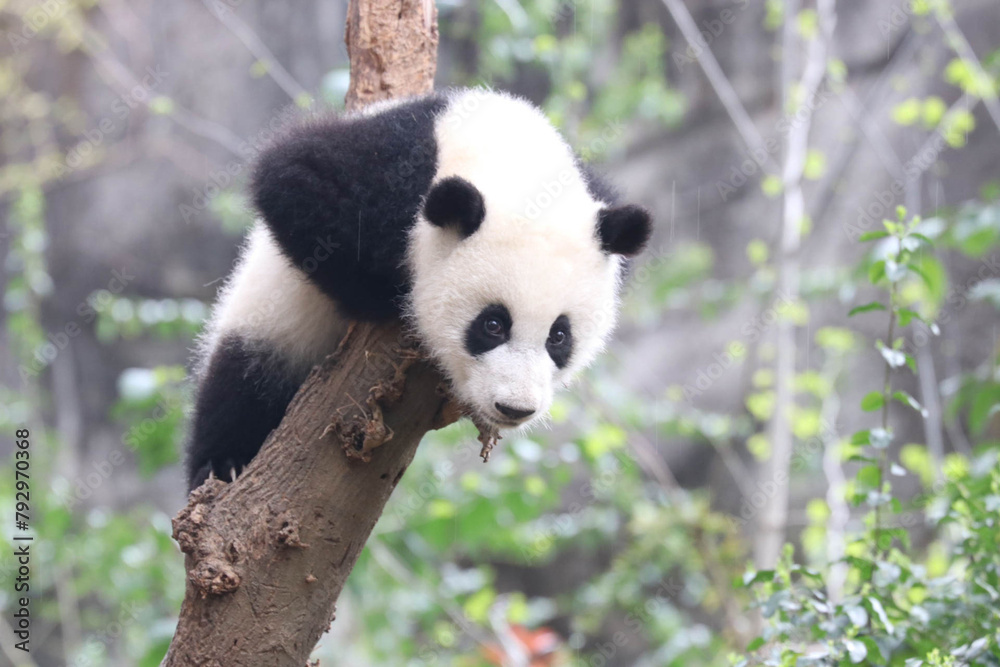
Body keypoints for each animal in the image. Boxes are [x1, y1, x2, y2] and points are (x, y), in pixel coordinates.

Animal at [186, 88, 652, 491]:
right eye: (493, 325)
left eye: (559, 336)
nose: (514, 407)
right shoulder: (390, 168)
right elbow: (293, 173)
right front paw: (389, 297)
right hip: (270, 320)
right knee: (241, 382)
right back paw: (222, 465)